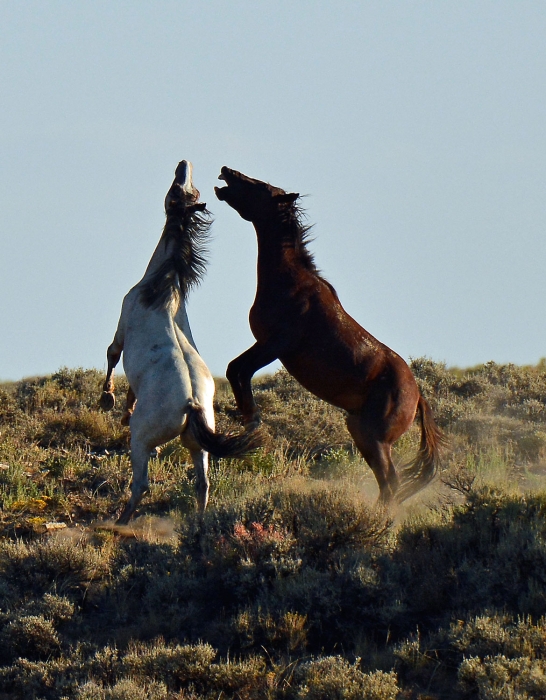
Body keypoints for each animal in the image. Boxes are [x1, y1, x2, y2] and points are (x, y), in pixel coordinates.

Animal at [100, 161, 262, 524]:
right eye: (190, 189)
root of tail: (191, 404)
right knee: (202, 483)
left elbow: (112, 356)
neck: (163, 288)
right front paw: (122, 408)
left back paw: (120, 522)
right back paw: (198, 525)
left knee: (141, 483)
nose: (182, 165)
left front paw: (107, 400)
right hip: (197, 446)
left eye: (176, 190)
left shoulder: (121, 326)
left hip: (142, 440)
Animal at [214, 167, 442, 504]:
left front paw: (251, 420)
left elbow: (237, 370)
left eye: (261, 187)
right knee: (387, 482)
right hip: (359, 431)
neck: (291, 282)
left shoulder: (275, 344)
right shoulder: (265, 344)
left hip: (374, 438)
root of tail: (418, 398)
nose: (226, 172)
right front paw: (246, 422)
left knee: (391, 481)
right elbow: (236, 370)